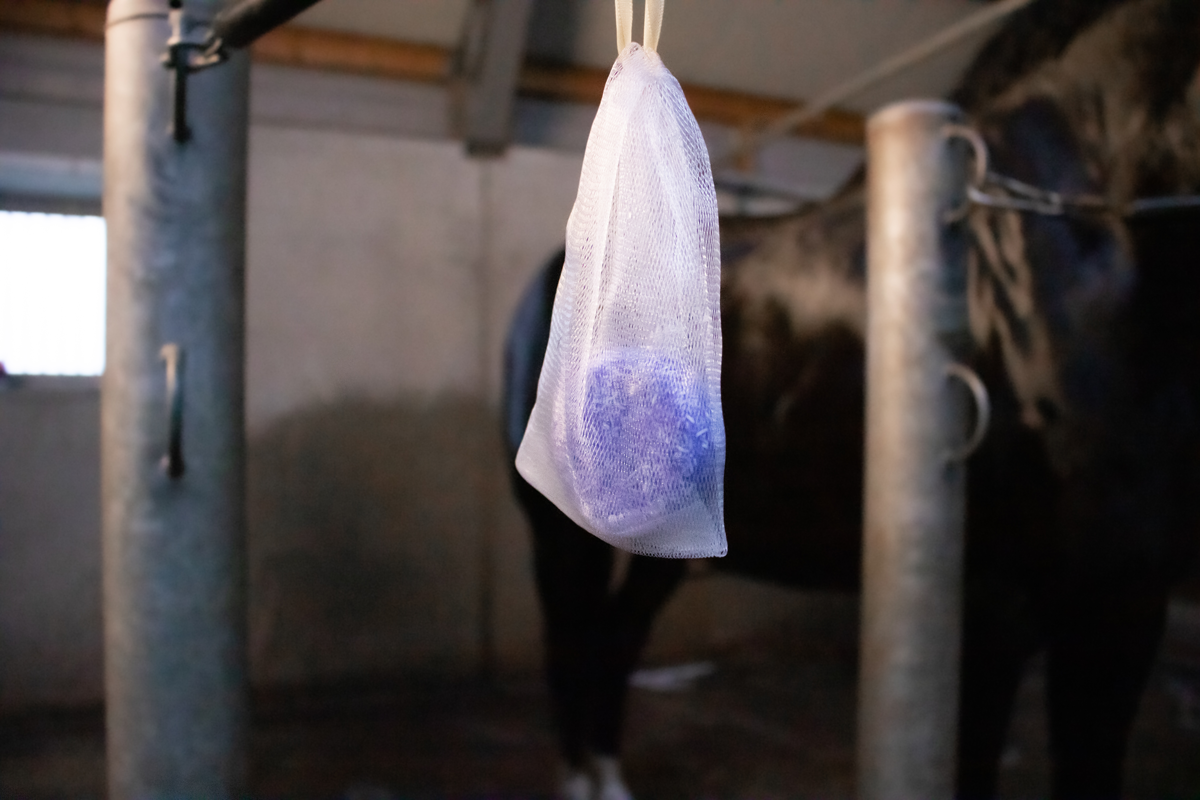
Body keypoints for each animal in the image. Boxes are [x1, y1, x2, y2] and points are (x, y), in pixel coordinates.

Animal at [502, 1, 1200, 797]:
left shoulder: (1128, 599)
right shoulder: (998, 601)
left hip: (663, 546)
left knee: (615, 638)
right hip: (561, 538)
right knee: (571, 645)